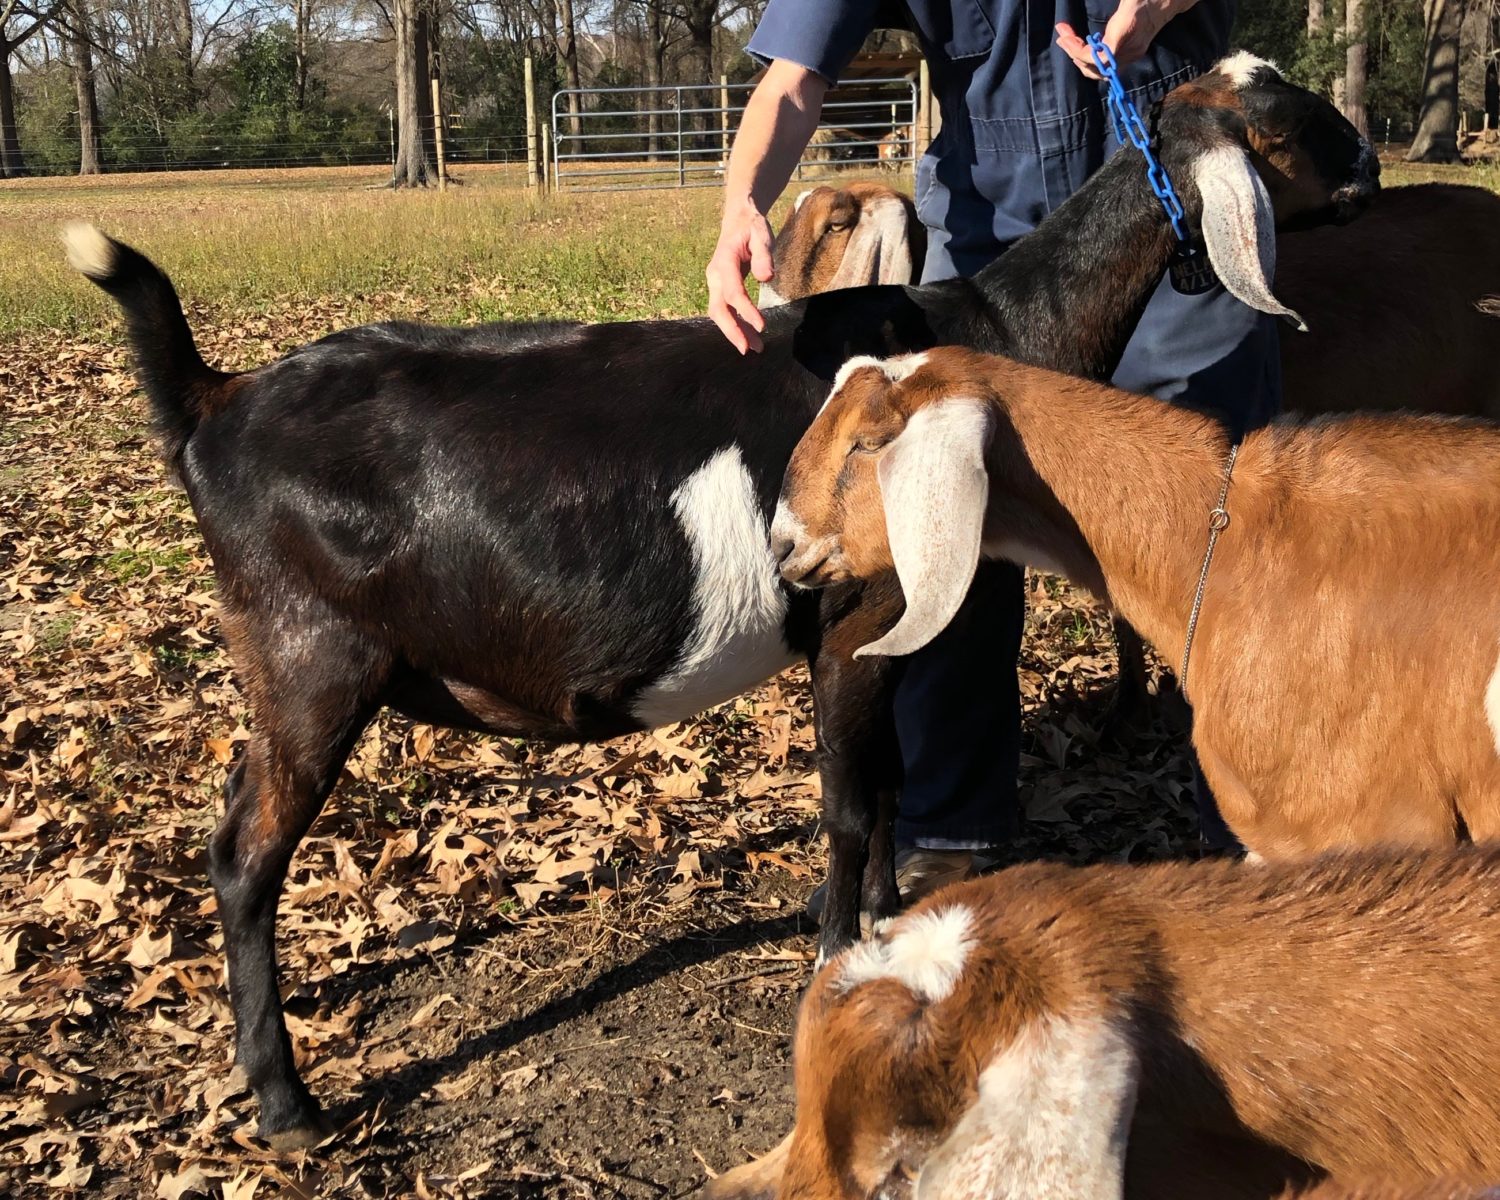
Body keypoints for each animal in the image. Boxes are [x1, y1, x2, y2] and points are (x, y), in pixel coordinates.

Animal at [66, 56, 1375, 1150]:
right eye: (1284, 124)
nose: (1368, 172)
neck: (996, 332)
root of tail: (216, 404)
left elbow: (886, 792)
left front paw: (886, 926)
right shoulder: (853, 619)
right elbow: (847, 804)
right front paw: (838, 952)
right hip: (307, 656)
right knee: (243, 858)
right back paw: (286, 1106)